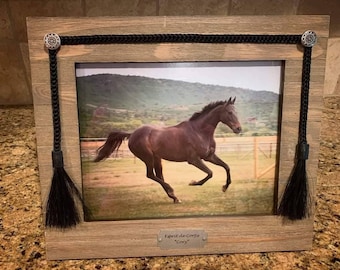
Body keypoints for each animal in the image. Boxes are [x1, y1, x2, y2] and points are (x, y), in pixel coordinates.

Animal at [93, 97, 242, 202]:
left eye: (236, 112)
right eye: (229, 112)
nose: (239, 129)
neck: (199, 131)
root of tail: (132, 134)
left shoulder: (209, 156)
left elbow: (227, 167)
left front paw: (225, 187)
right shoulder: (194, 160)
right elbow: (210, 173)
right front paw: (193, 183)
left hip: (157, 158)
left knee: (158, 175)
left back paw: (174, 197)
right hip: (148, 158)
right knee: (151, 175)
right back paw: (172, 192)